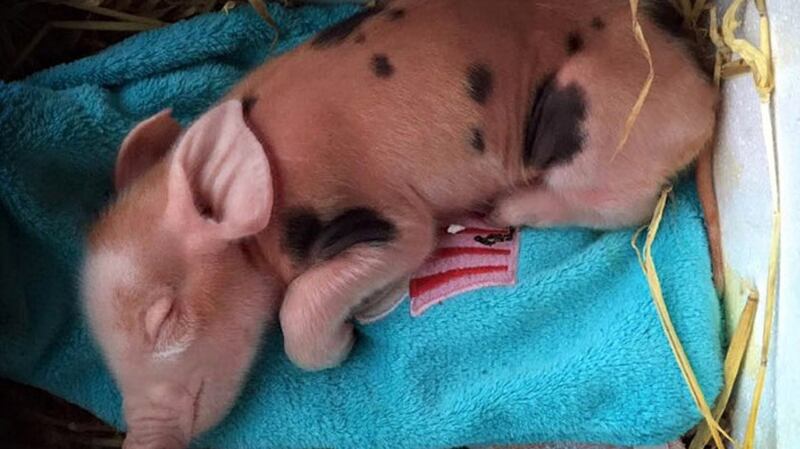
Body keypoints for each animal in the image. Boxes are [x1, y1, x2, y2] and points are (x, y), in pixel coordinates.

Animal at [81, 0, 717, 448]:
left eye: (164, 317)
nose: (135, 442)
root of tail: (704, 101)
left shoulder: (386, 216)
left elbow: (305, 307)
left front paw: (351, 335)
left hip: (589, 119)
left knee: (627, 202)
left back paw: (508, 209)